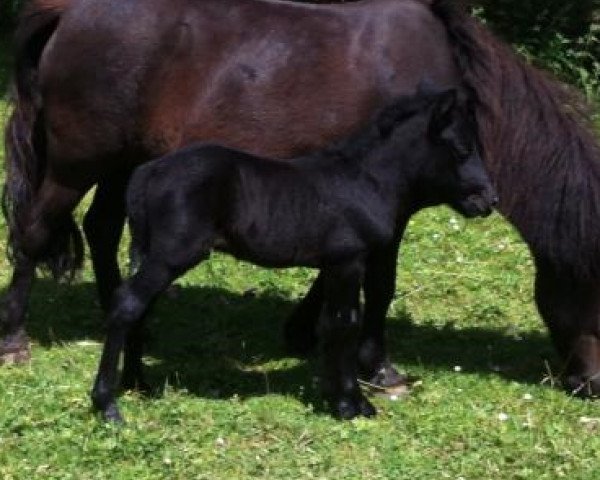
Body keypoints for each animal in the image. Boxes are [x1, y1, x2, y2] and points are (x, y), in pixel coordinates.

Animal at [92, 88, 496, 422]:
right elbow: (346, 324)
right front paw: (353, 405)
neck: (367, 181)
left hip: (151, 253)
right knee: (127, 303)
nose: (488, 200)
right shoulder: (349, 261)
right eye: (462, 149)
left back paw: (138, 384)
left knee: (141, 309)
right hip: (171, 256)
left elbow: (331, 325)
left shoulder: (334, 265)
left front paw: (336, 397)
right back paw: (107, 404)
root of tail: (147, 172)